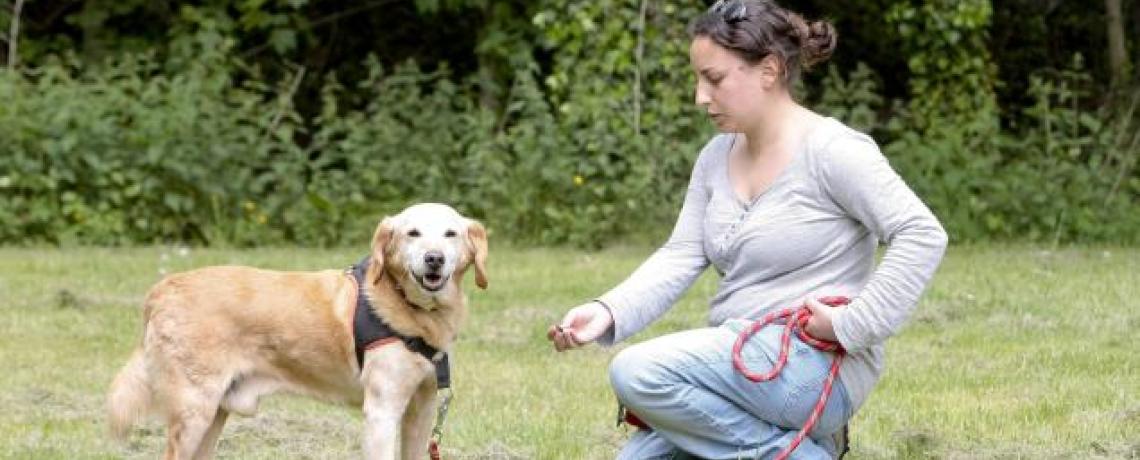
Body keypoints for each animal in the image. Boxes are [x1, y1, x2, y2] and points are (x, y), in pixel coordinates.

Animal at [108, 202, 492, 457]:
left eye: (450, 234)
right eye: (413, 233)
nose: (434, 258)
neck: (416, 311)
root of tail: (164, 288)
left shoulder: (421, 409)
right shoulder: (382, 412)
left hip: (213, 416)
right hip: (193, 414)